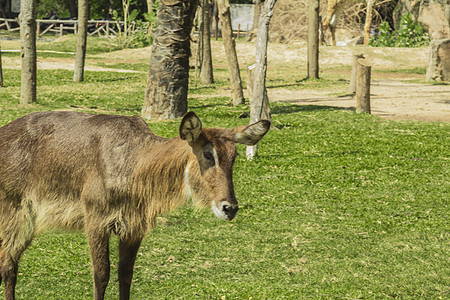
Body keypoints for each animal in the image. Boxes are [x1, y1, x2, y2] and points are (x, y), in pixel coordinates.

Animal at [0, 111, 270, 298]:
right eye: (207, 153)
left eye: (234, 156)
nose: (229, 208)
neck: (134, 163)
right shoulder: (96, 221)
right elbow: (101, 274)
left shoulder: (133, 227)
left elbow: (125, 274)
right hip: (16, 214)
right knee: (8, 265)